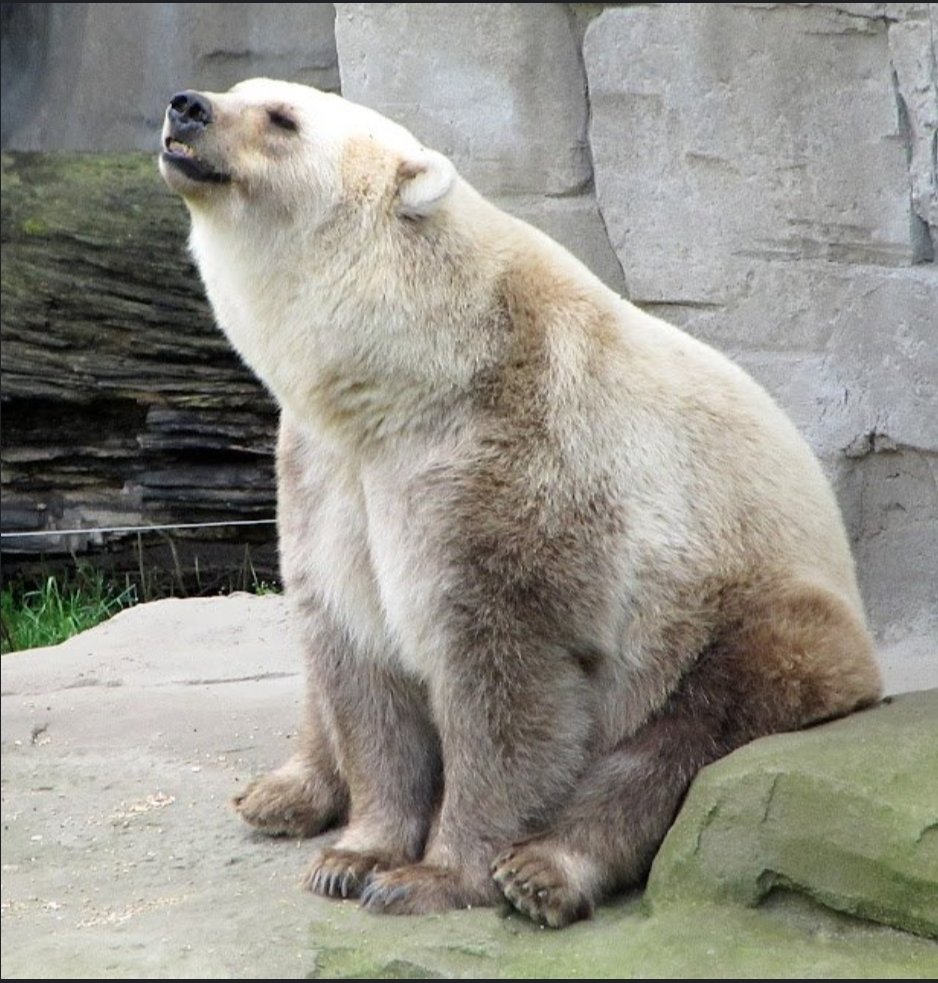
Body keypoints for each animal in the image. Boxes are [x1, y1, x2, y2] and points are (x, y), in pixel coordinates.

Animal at [159, 78, 882, 928]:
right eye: (241, 92)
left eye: (282, 118)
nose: (187, 107)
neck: (412, 376)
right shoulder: (330, 473)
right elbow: (356, 652)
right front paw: (353, 855)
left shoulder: (514, 457)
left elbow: (505, 677)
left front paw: (429, 876)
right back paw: (284, 791)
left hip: (749, 618)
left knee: (689, 730)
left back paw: (546, 869)